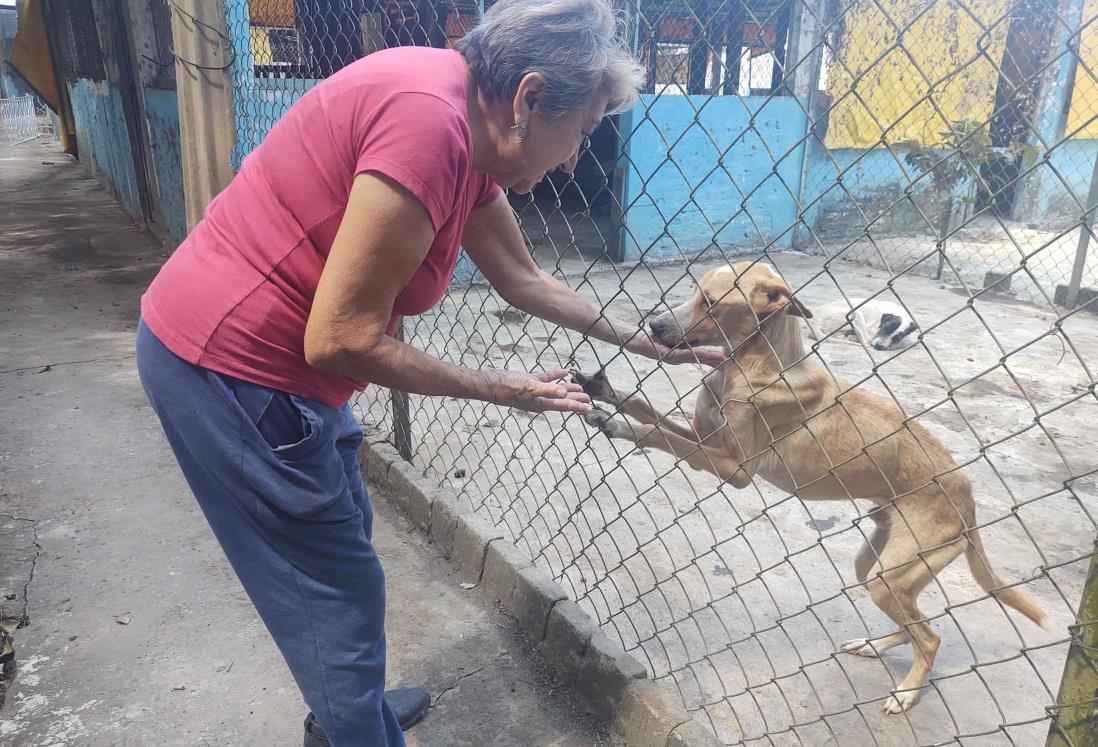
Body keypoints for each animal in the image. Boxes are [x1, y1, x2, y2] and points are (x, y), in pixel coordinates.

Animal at [575, 261, 1045, 711]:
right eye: (693, 292)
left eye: (710, 302)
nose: (652, 327)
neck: (751, 365)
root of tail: (967, 494)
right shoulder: (705, 437)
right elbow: (649, 410)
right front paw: (606, 390)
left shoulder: (734, 468)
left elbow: (660, 434)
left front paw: (617, 424)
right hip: (874, 568)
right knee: (916, 624)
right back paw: (874, 645)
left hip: (894, 574)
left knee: (929, 637)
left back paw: (907, 692)